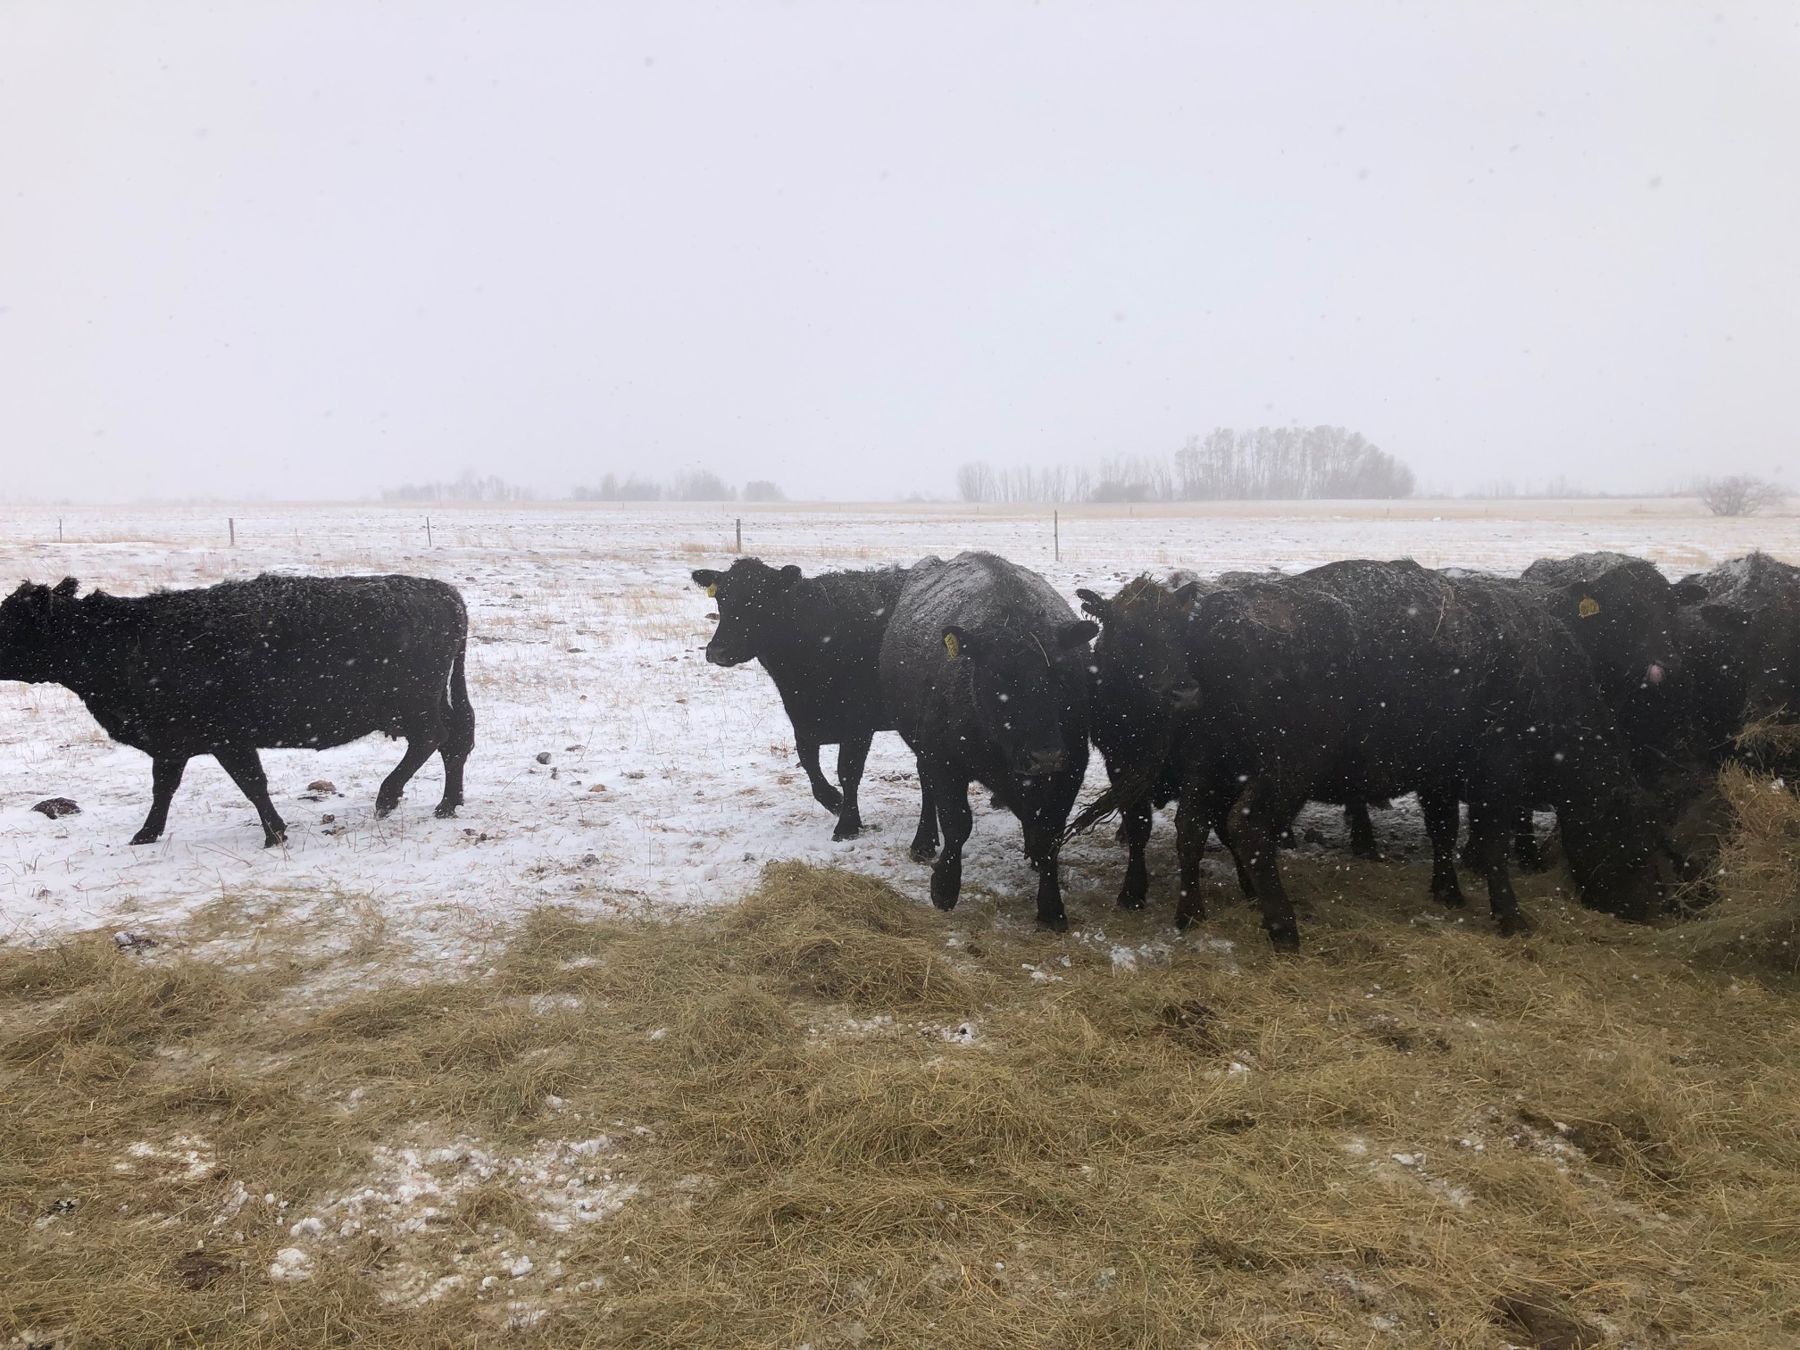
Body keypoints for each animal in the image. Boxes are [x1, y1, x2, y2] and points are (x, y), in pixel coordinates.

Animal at [0, 574, 474, 847]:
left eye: (10, 620)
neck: (127, 639)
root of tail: (444, 592)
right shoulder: (172, 744)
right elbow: (163, 788)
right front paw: (146, 834)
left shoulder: (226, 738)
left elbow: (252, 784)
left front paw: (274, 834)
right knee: (456, 739)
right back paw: (447, 804)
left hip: (413, 704)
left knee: (434, 738)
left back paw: (388, 797)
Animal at [690, 558, 916, 843]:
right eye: (721, 598)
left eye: (759, 599)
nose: (717, 650)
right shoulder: (802, 721)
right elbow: (811, 768)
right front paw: (835, 801)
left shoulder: (858, 724)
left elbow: (848, 771)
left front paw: (847, 824)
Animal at [879, 552, 1097, 930]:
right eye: (998, 676)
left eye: (1062, 671)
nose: (1045, 756)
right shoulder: (942, 758)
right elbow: (957, 823)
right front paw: (944, 888)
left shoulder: (1071, 767)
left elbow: (1050, 833)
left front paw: (1051, 908)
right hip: (922, 748)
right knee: (926, 788)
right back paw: (923, 842)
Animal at [1082, 560, 1667, 950]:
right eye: (1637, 842)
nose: (1652, 910)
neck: (1540, 670)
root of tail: (1215, 618)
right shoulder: (1496, 779)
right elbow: (1492, 845)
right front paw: (1510, 915)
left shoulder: (1439, 776)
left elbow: (1444, 832)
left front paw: (1448, 891)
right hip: (1285, 767)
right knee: (1246, 826)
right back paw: (1283, 926)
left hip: (1216, 765)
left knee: (1194, 826)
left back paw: (1191, 914)